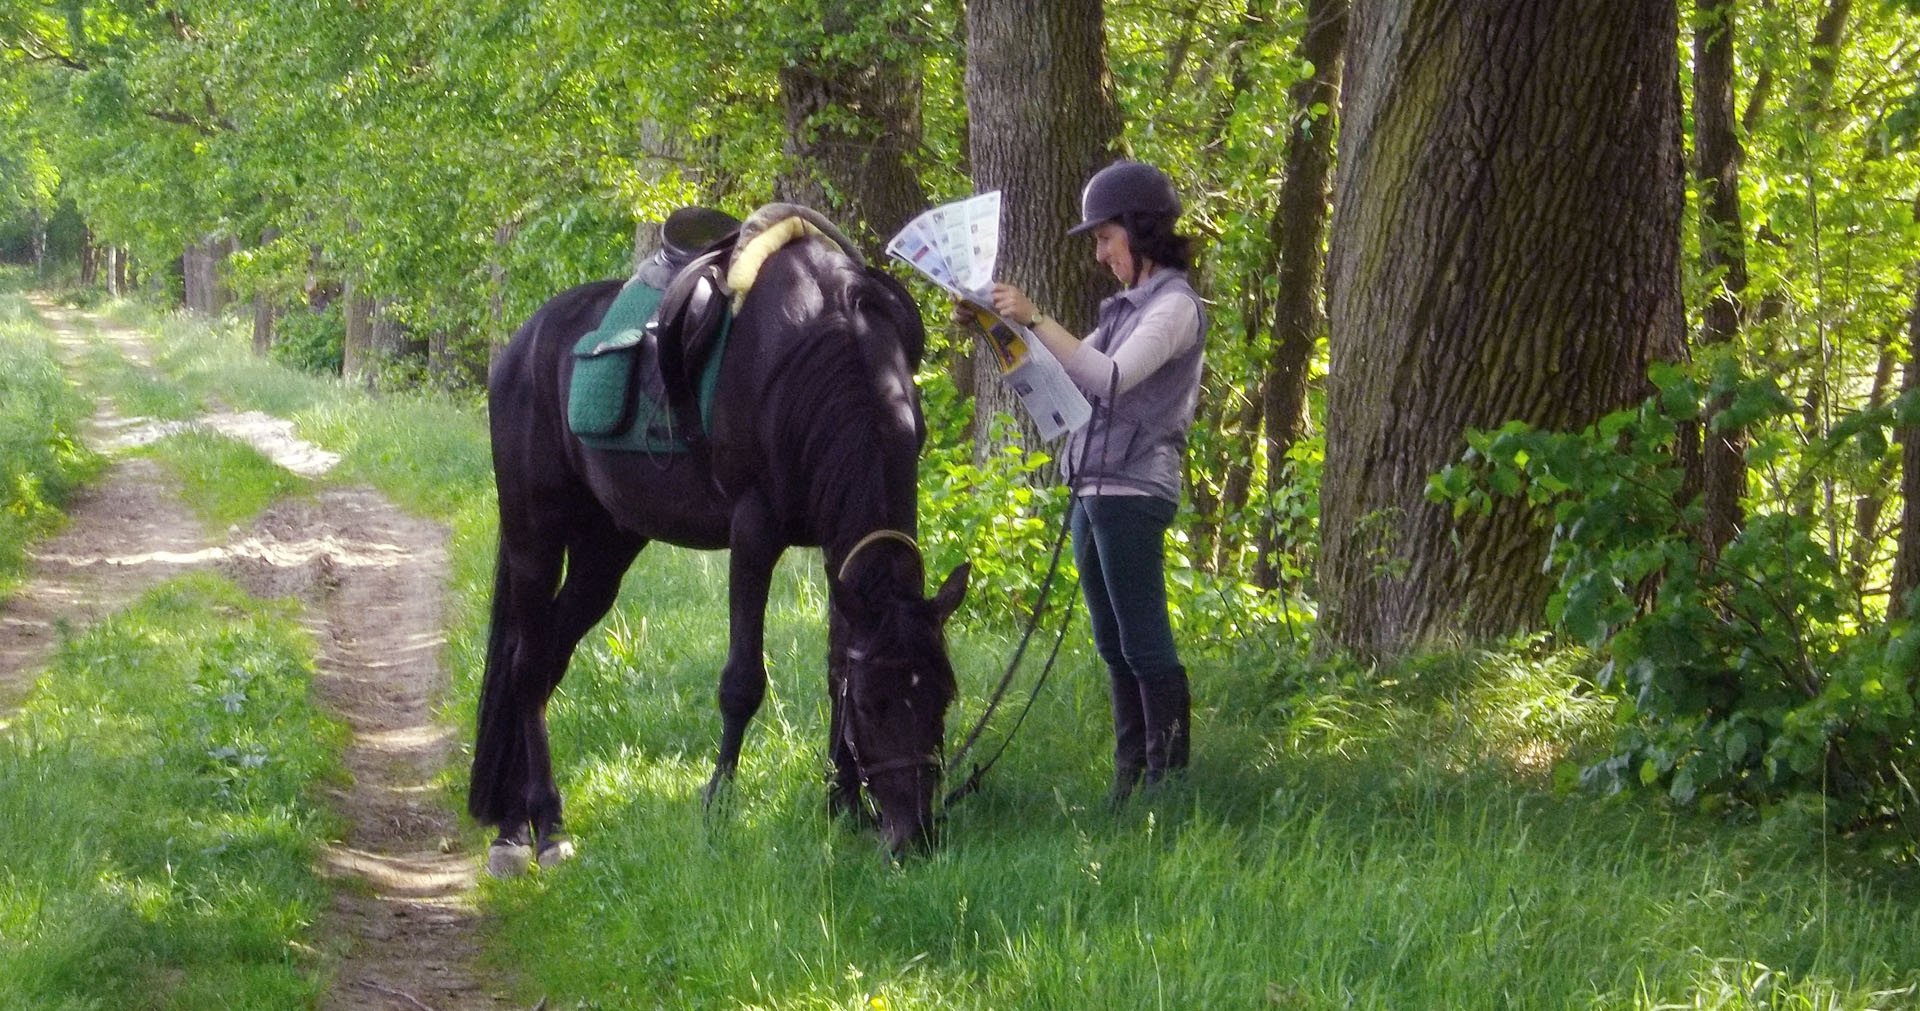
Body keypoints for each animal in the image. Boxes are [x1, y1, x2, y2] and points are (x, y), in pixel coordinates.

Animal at [468, 214, 970, 874]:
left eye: (943, 697)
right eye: (874, 706)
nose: (913, 835)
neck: (826, 355)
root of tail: (519, 348)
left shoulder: (841, 554)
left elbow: (837, 664)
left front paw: (842, 805)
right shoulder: (754, 532)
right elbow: (742, 682)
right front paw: (718, 805)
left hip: (605, 553)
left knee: (546, 658)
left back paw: (515, 814)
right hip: (535, 537)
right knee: (525, 668)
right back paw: (538, 826)